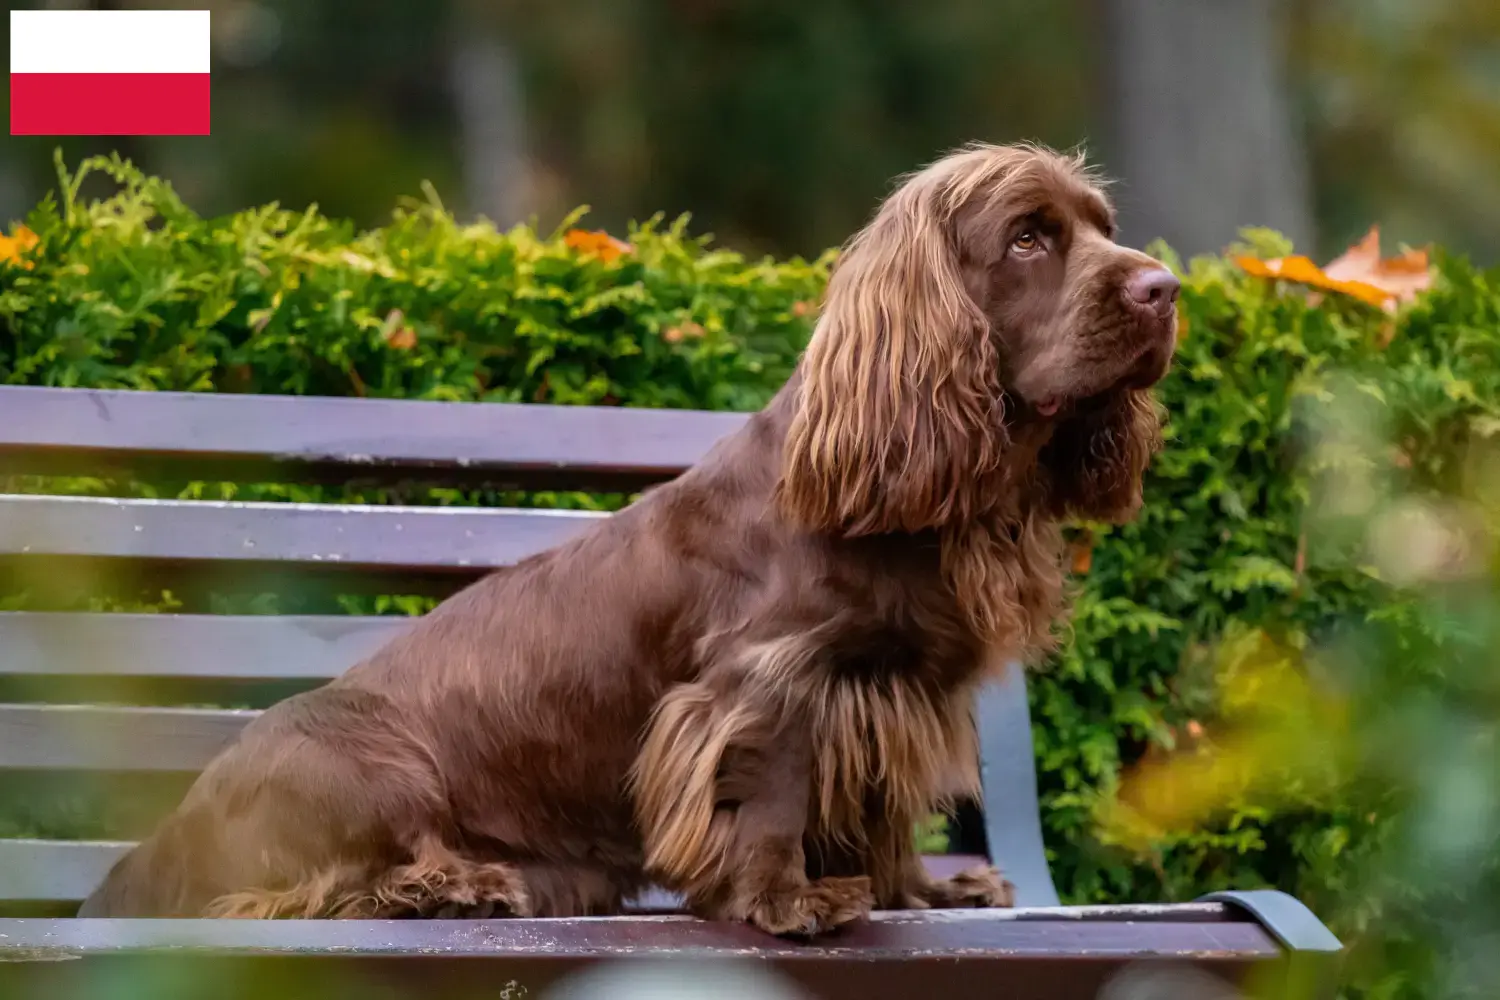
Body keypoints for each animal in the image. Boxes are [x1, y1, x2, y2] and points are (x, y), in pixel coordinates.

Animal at [82, 144, 1176, 935]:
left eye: (1104, 229)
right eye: (1028, 239)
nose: (1166, 288)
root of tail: (165, 834)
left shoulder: (891, 691)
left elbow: (879, 809)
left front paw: (922, 891)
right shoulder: (766, 680)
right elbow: (775, 792)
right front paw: (787, 901)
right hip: (374, 766)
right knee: (292, 895)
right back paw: (453, 887)